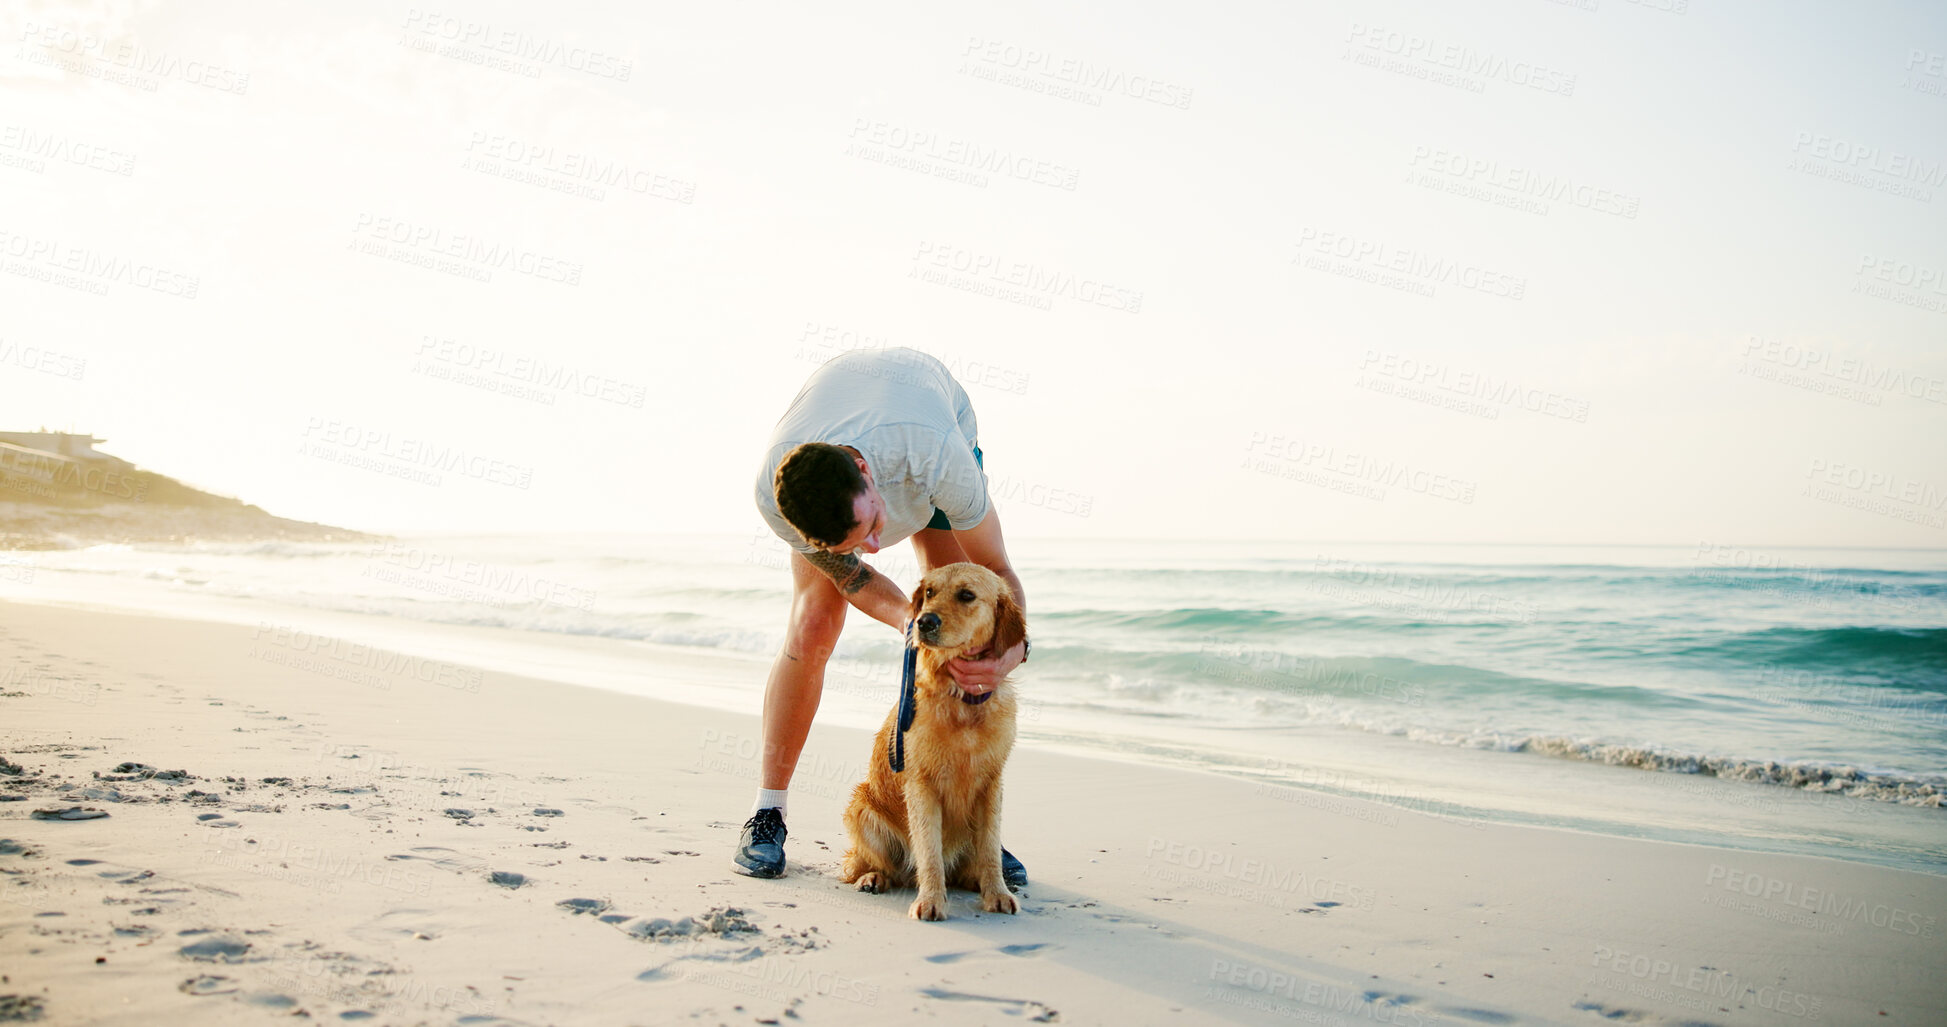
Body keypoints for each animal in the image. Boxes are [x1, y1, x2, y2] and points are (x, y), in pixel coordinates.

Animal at [841, 561, 1028, 923]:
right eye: (929, 592)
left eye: (966, 595)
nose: (924, 622)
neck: (962, 701)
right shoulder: (921, 784)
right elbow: (928, 850)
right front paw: (930, 900)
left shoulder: (992, 784)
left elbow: (990, 849)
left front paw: (997, 893)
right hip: (861, 808)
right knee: (867, 864)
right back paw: (873, 877)